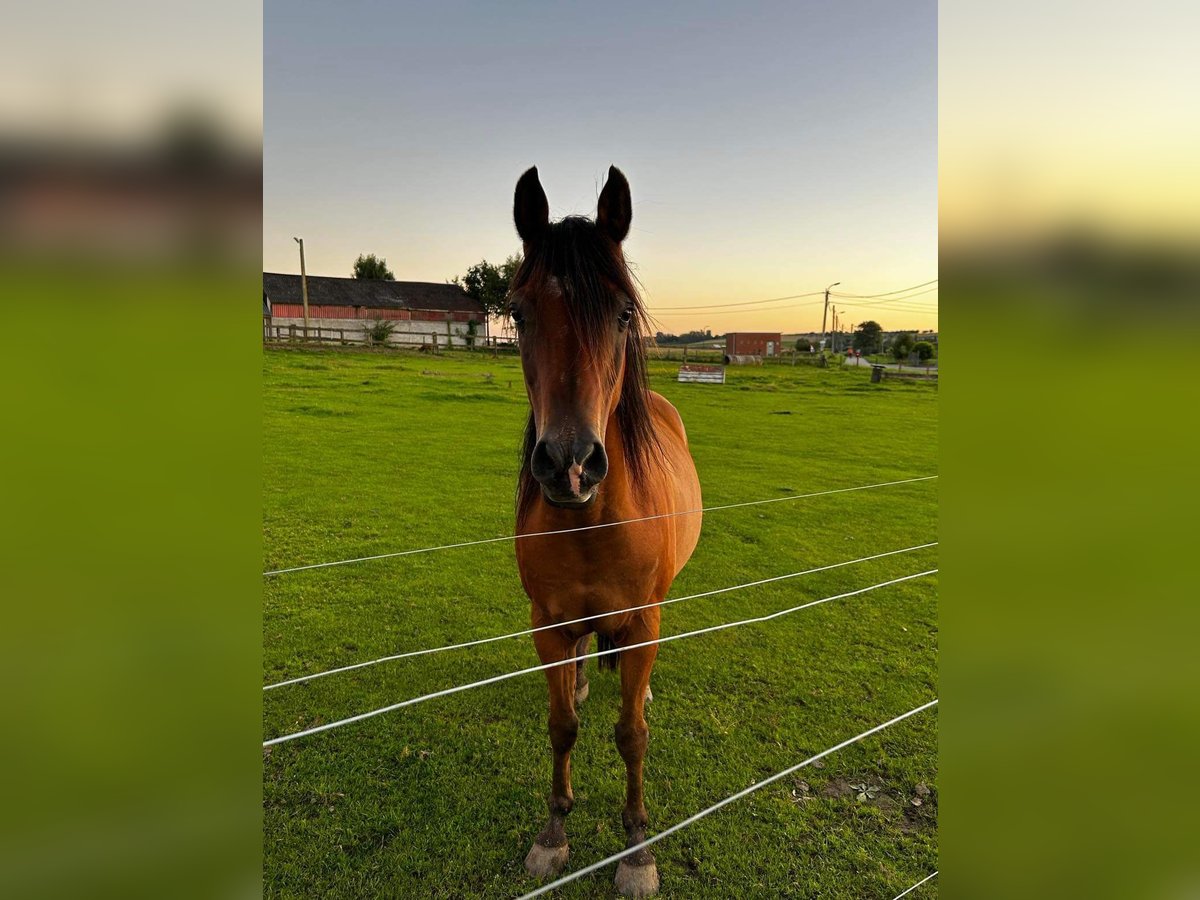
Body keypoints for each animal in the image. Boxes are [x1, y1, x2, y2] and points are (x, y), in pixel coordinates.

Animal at [508, 165, 700, 897]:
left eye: (621, 314)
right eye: (518, 311)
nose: (570, 463)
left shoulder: (642, 621)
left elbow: (631, 735)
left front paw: (637, 849)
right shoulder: (548, 623)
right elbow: (562, 726)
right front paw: (553, 832)